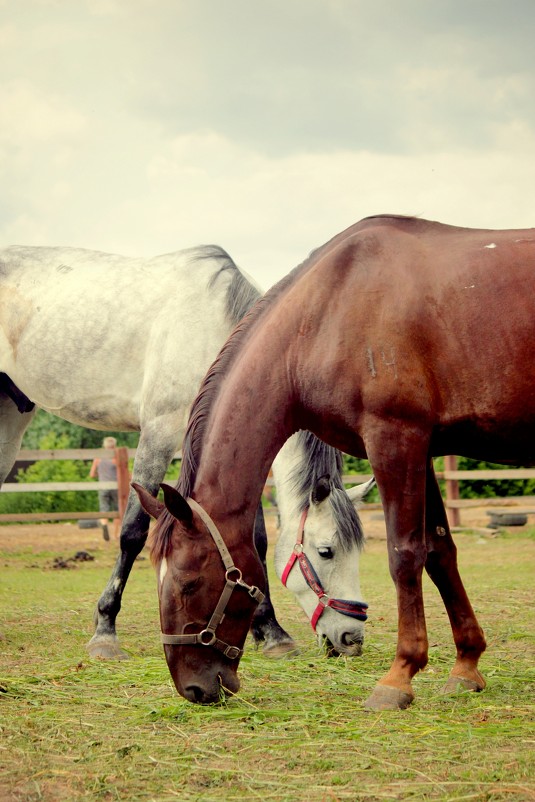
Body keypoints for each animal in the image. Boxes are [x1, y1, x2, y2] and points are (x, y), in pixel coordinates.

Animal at [0, 245, 370, 664]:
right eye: (326, 551)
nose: (351, 639)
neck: (214, 329)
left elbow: (255, 541)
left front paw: (271, 633)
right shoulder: (157, 434)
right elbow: (132, 532)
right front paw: (105, 632)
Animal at [135, 214, 535, 708]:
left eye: (188, 582)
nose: (193, 688)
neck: (328, 311)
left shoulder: (394, 438)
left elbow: (405, 554)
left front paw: (399, 675)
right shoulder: (423, 449)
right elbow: (441, 553)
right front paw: (466, 664)